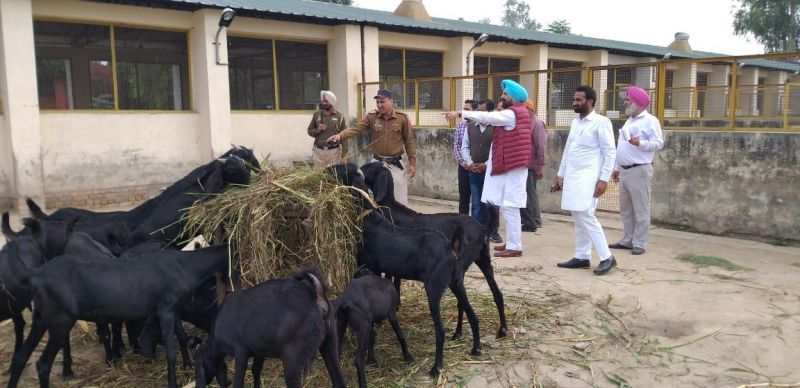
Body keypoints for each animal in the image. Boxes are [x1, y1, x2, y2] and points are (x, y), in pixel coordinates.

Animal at [5, 241, 231, 386]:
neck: (184, 266)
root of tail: (37, 274)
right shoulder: (165, 309)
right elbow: (170, 350)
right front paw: (173, 382)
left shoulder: (173, 310)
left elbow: (183, 338)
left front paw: (188, 365)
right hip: (61, 321)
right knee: (43, 364)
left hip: (41, 318)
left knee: (21, 357)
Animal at [195, 270, 346, 388]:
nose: (227, 382)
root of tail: (316, 297)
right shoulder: (259, 351)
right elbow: (256, 370)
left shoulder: (240, 350)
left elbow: (239, 381)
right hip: (330, 343)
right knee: (339, 381)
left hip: (292, 357)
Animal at [326, 163, 478, 376]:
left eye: (339, 169)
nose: (324, 170)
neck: (369, 217)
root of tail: (450, 250)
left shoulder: (368, 268)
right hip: (456, 283)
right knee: (472, 314)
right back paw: (476, 348)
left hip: (433, 289)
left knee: (440, 331)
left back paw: (436, 367)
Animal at [360, 162, 510, 338]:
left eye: (369, 166)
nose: (356, 168)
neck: (391, 207)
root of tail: (482, 228)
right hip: (484, 260)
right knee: (497, 294)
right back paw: (502, 330)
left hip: (461, 266)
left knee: (461, 302)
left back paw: (458, 332)